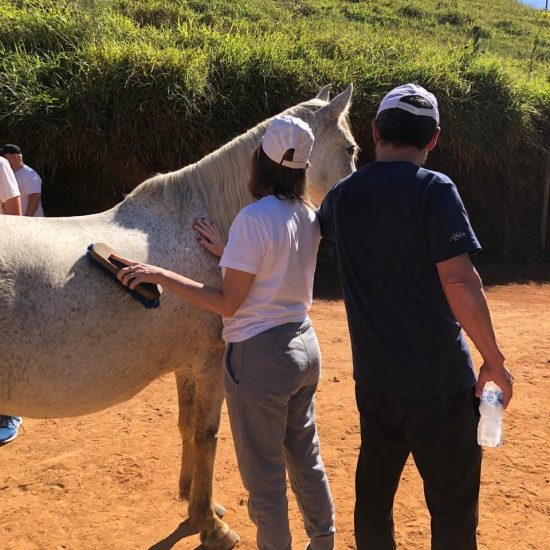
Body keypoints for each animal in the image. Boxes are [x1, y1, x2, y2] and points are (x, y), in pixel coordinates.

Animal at [0, 84, 358, 548]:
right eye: (351, 148)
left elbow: (186, 425)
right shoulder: (210, 362)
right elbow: (207, 435)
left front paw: (194, 499)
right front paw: (210, 525)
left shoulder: (187, 365)